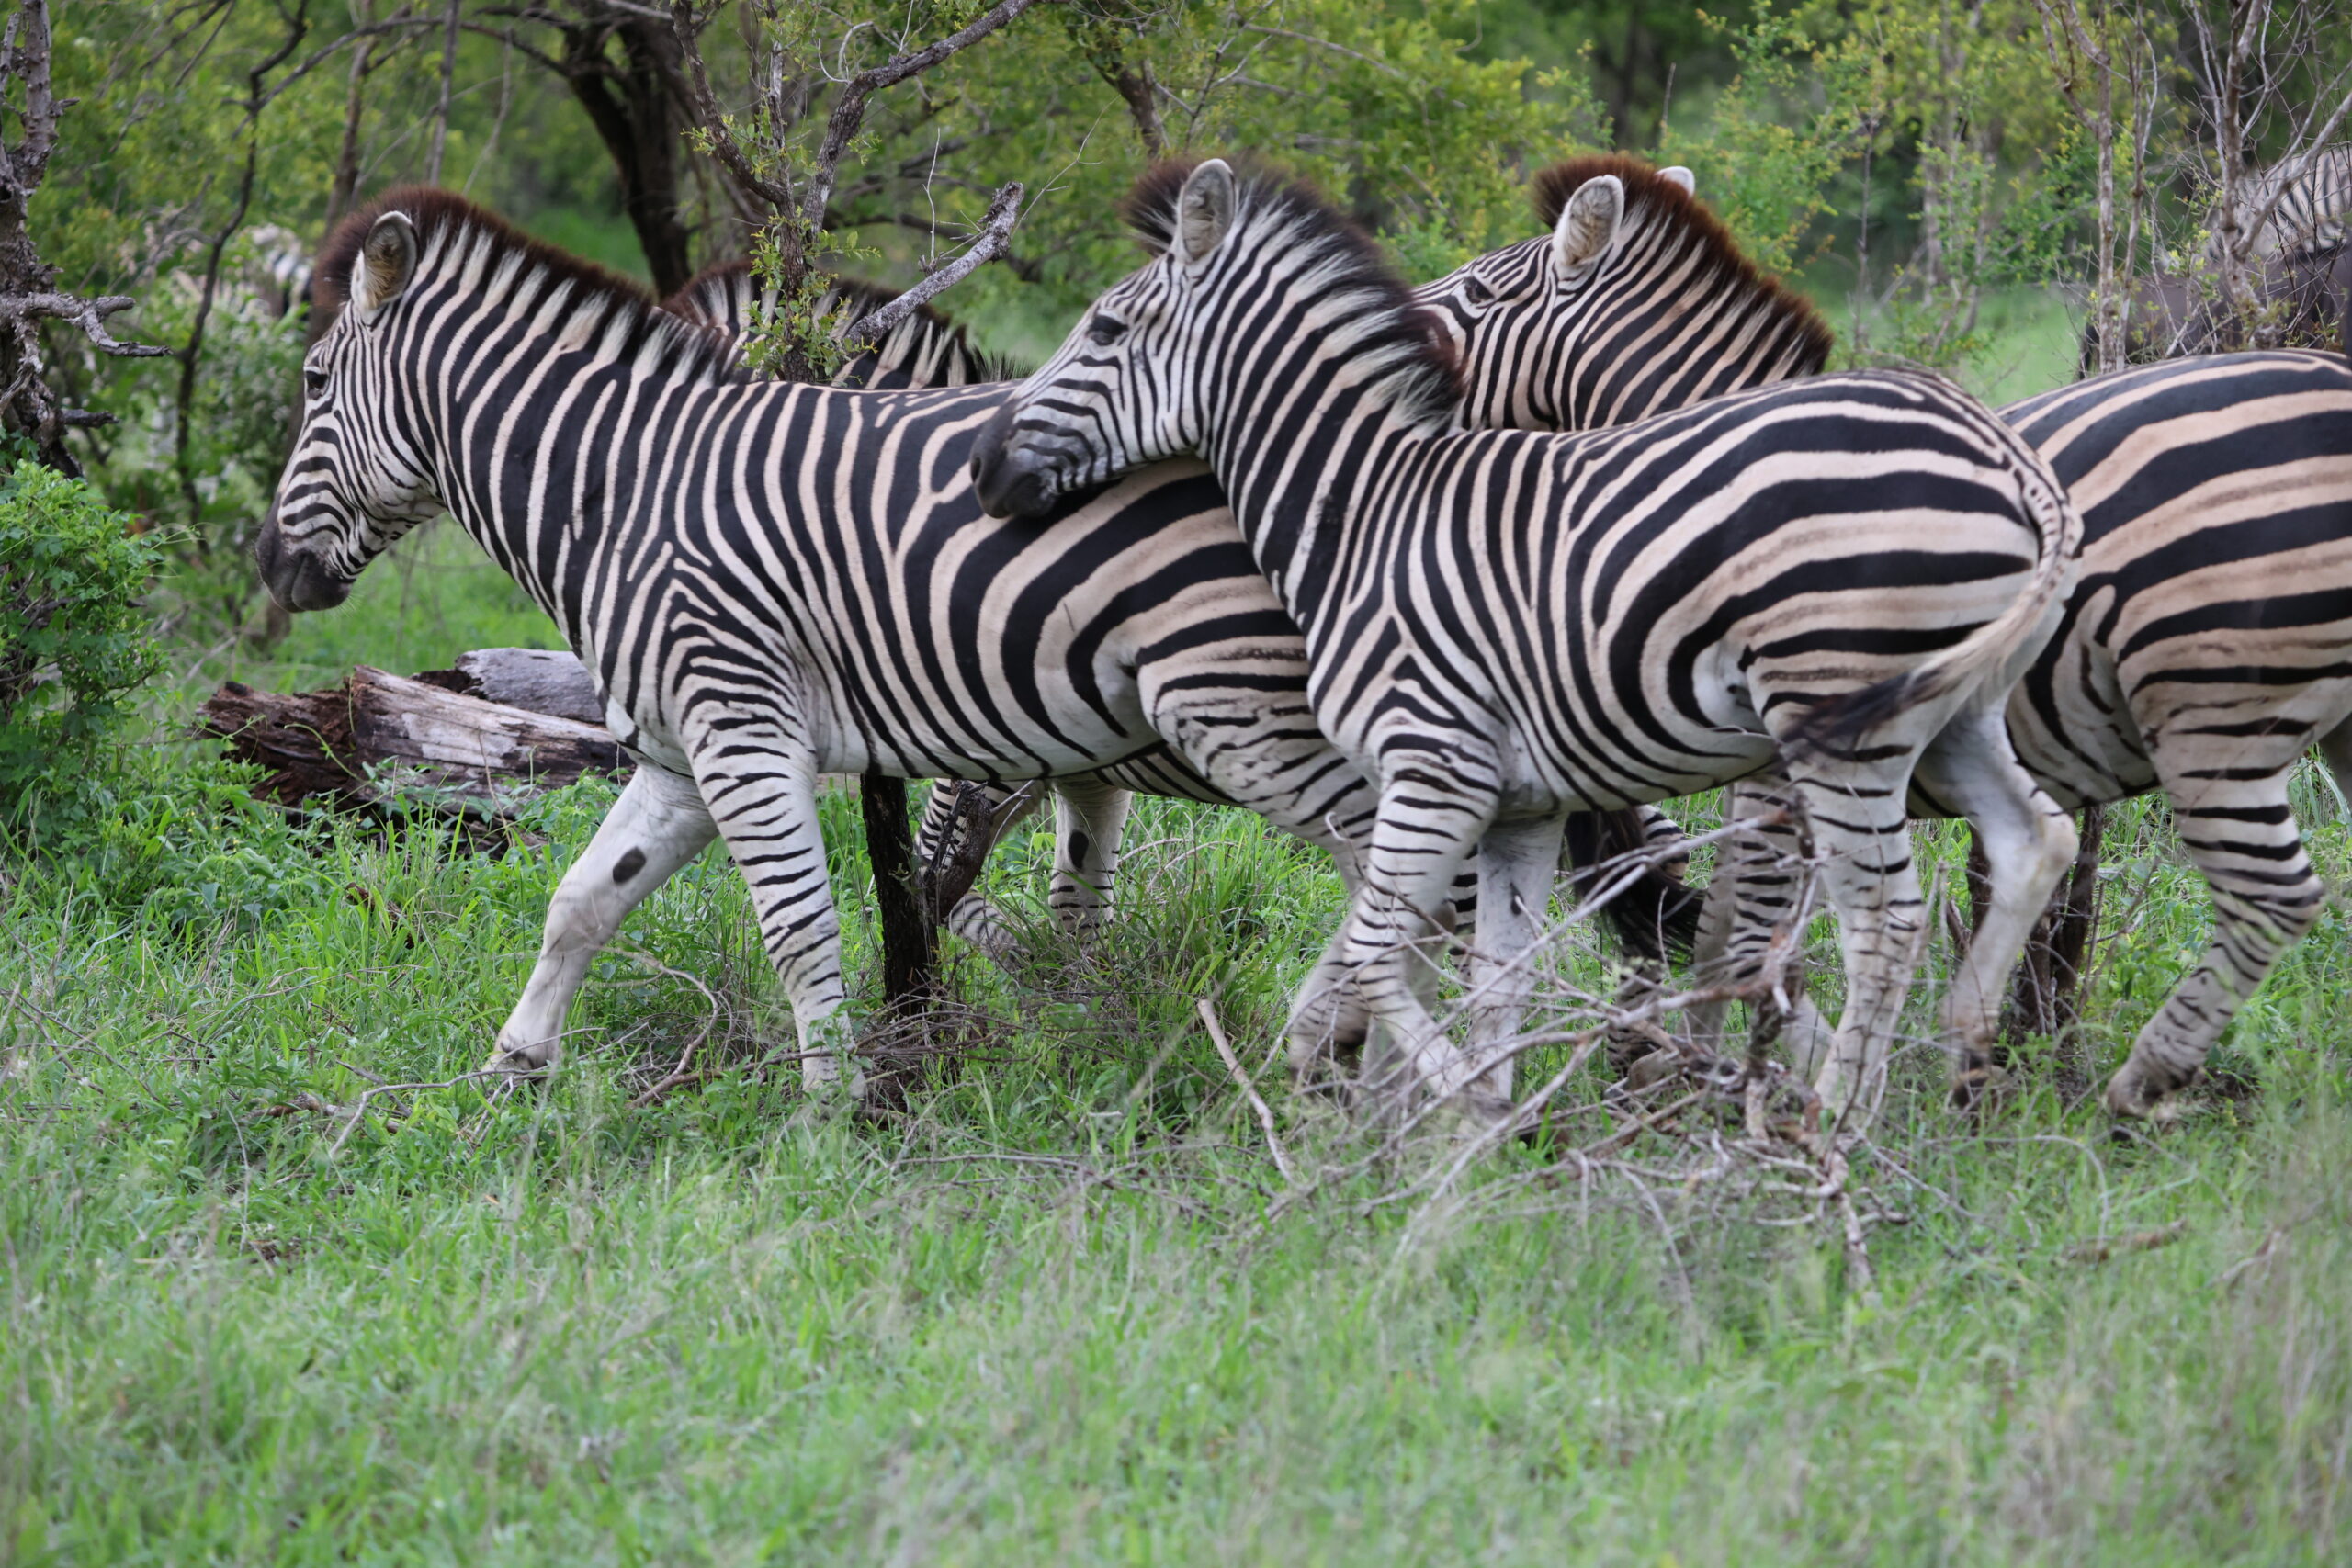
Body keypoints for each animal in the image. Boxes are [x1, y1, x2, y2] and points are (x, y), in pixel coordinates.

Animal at [964, 156, 2088, 1114]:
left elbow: (1413, 953)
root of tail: (2006, 457)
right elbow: (1516, 964)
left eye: (1106, 329)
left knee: (1885, 920)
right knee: (2035, 843)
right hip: (1952, 713)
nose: (983, 467)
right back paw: (1957, 1061)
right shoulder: (1531, 794)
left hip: (1839, 711)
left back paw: (1840, 1122)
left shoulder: (1444, 762)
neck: (1362, 505)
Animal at [1411, 156, 2352, 1114]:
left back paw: (2137, 1083)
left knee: (2270, 896)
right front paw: (1707, 1072)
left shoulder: (1779, 763)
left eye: (1479, 292)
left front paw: (1763, 1077)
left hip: (2209, 706)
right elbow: (1726, 927)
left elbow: (1746, 930)